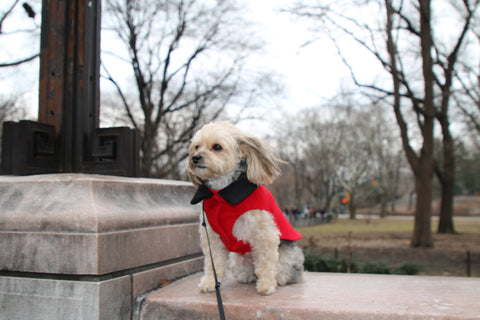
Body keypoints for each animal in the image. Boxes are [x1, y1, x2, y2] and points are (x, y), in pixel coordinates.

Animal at [188, 122, 304, 296]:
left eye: (217, 147)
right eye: (196, 147)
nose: (195, 158)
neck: (220, 194)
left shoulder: (264, 234)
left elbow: (266, 263)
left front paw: (266, 284)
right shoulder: (212, 237)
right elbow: (213, 263)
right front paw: (210, 282)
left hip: (287, 257)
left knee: (282, 272)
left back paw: (278, 279)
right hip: (237, 259)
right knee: (248, 271)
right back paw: (247, 276)